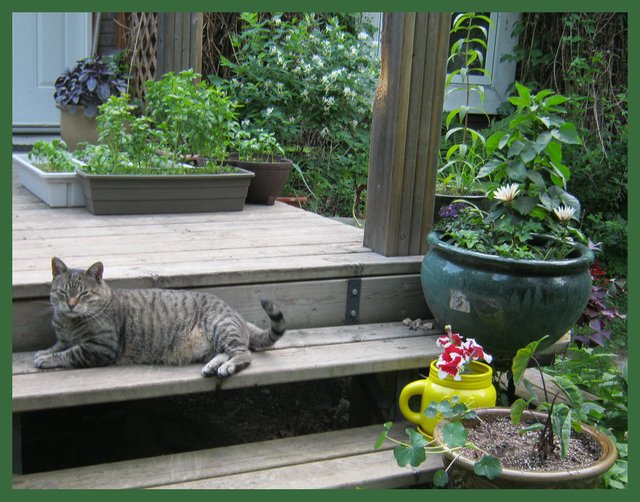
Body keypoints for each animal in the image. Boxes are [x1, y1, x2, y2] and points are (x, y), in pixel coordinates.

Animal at [32, 256, 286, 378]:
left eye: (84, 293)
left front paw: (46, 359)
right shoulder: (65, 339)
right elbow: (59, 346)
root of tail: (236, 314)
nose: (71, 304)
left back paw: (227, 367)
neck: (69, 322)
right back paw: (213, 366)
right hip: (216, 341)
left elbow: (68, 353)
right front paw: (44, 352)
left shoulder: (100, 347)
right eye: (63, 292)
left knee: (244, 354)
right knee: (225, 353)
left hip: (221, 328)